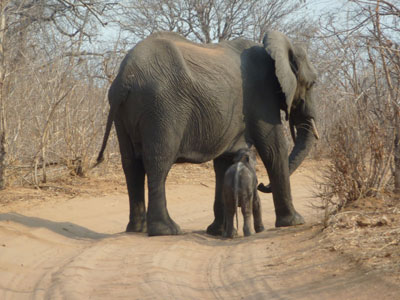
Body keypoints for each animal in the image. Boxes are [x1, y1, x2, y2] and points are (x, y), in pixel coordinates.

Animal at [96, 30, 318, 237]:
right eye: (312, 83)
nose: (262, 184)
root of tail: (124, 78)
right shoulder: (262, 97)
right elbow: (274, 149)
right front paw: (294, 222)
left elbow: (224, 162)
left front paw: (217, 231)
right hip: (160, 108)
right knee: (158, 162)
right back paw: (167, 230)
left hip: (124, 112)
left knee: (131, 164)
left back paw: (136, 229)